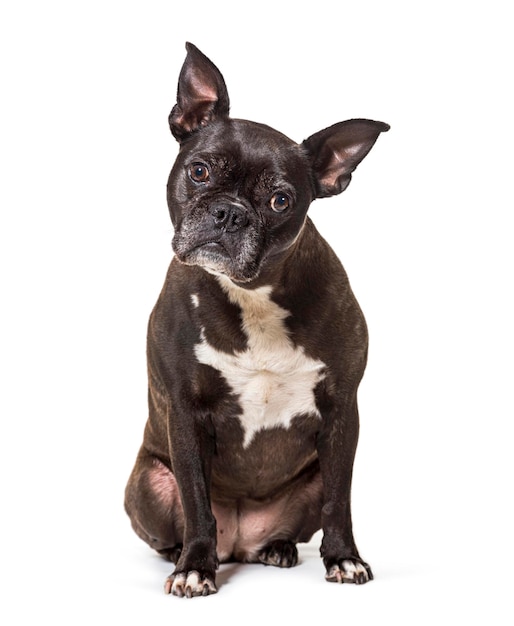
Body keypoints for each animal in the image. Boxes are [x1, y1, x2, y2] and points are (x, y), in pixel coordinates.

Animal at [125, 41, 388, 596]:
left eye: (280, 200)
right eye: (200, 171)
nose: (230, 213)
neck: (252, 296)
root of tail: (240, 545)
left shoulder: (342, 412)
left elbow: (340, 500)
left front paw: (344, 558)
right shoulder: (185, 413)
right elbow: (197, 499)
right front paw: (195, 567)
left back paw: (278, 547)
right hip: (146, 483)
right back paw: (184, 555)